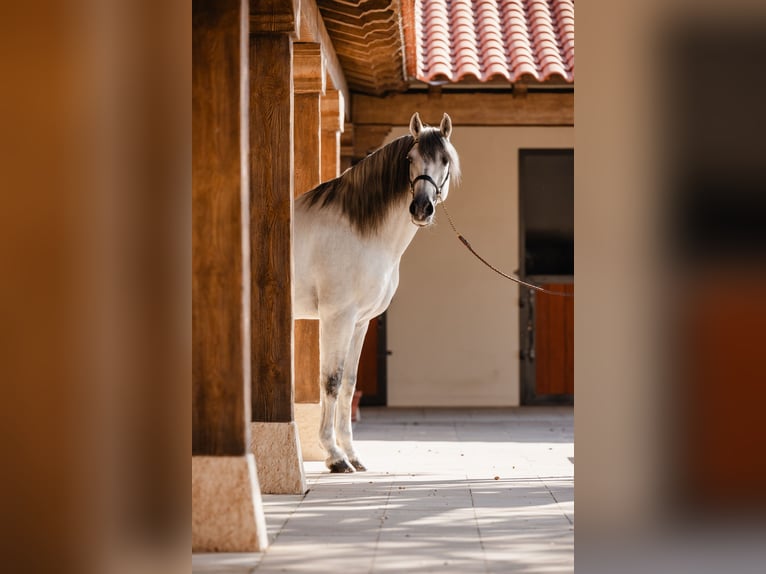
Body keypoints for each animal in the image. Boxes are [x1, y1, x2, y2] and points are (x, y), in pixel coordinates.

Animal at [294, 111, 462, 472]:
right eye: (410, 159)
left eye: (444, 160)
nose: (421, 208)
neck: (359, 232)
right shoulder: (336, 318)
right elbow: (330, 380)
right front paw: (334, 456)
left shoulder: (359, 322)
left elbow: (348, 384)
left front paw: (352, 455)